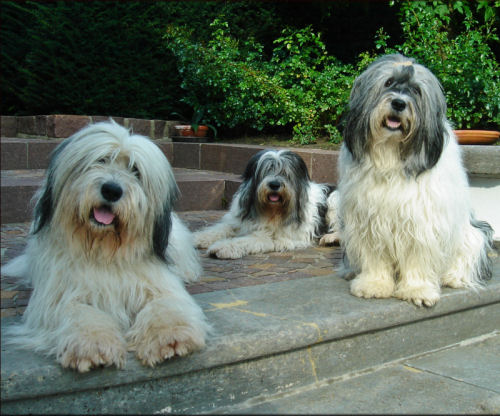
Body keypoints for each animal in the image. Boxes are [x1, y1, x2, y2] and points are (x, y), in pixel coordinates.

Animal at [2, 119, 209, 370]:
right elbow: (80, 312)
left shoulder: (158, 284)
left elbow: (166, 306)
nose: (112, 190)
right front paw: (92, 344)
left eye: (135, 170)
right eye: (100, 160)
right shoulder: (62, 294)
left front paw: (170, 336)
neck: (106, 251)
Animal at [193, 150, 338, 256]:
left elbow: (247, 239)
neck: (271, 211)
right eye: (266, 170)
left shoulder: (280, 237)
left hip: (333, 200)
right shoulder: (238, 222)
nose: (274, 184)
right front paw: (196, 238)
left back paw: (331, 238)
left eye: (285, 173)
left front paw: (223, 247)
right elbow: (219, 229)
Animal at [336, 53, 492, 308]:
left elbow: (418, 256)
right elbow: (374, 254)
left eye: (416, 90)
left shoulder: (422, 220)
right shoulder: (368, 219)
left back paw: (454, 278)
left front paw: (417, 289)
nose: (399, 103)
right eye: (388, 82)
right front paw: (373, 284)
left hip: (473, 235)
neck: (392, 155)